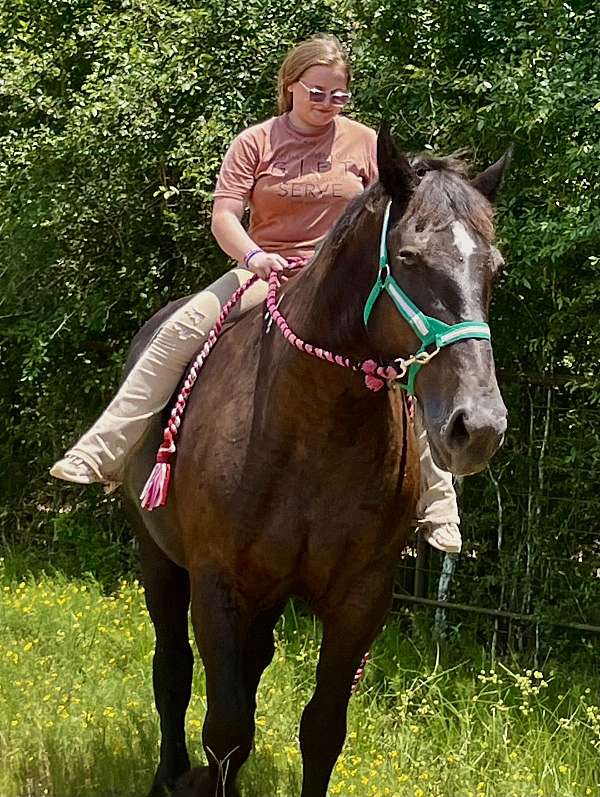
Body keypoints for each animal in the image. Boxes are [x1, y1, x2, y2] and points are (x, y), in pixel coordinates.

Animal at [124, 131, 508, 796]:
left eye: (495, 268)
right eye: (408, 256)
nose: (477, 426)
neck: (310, 430)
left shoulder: (361, 599)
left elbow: (322, 730)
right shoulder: (218, 586)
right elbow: (224, 726)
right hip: (161, 561)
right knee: (171, 669)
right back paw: (169, 773)